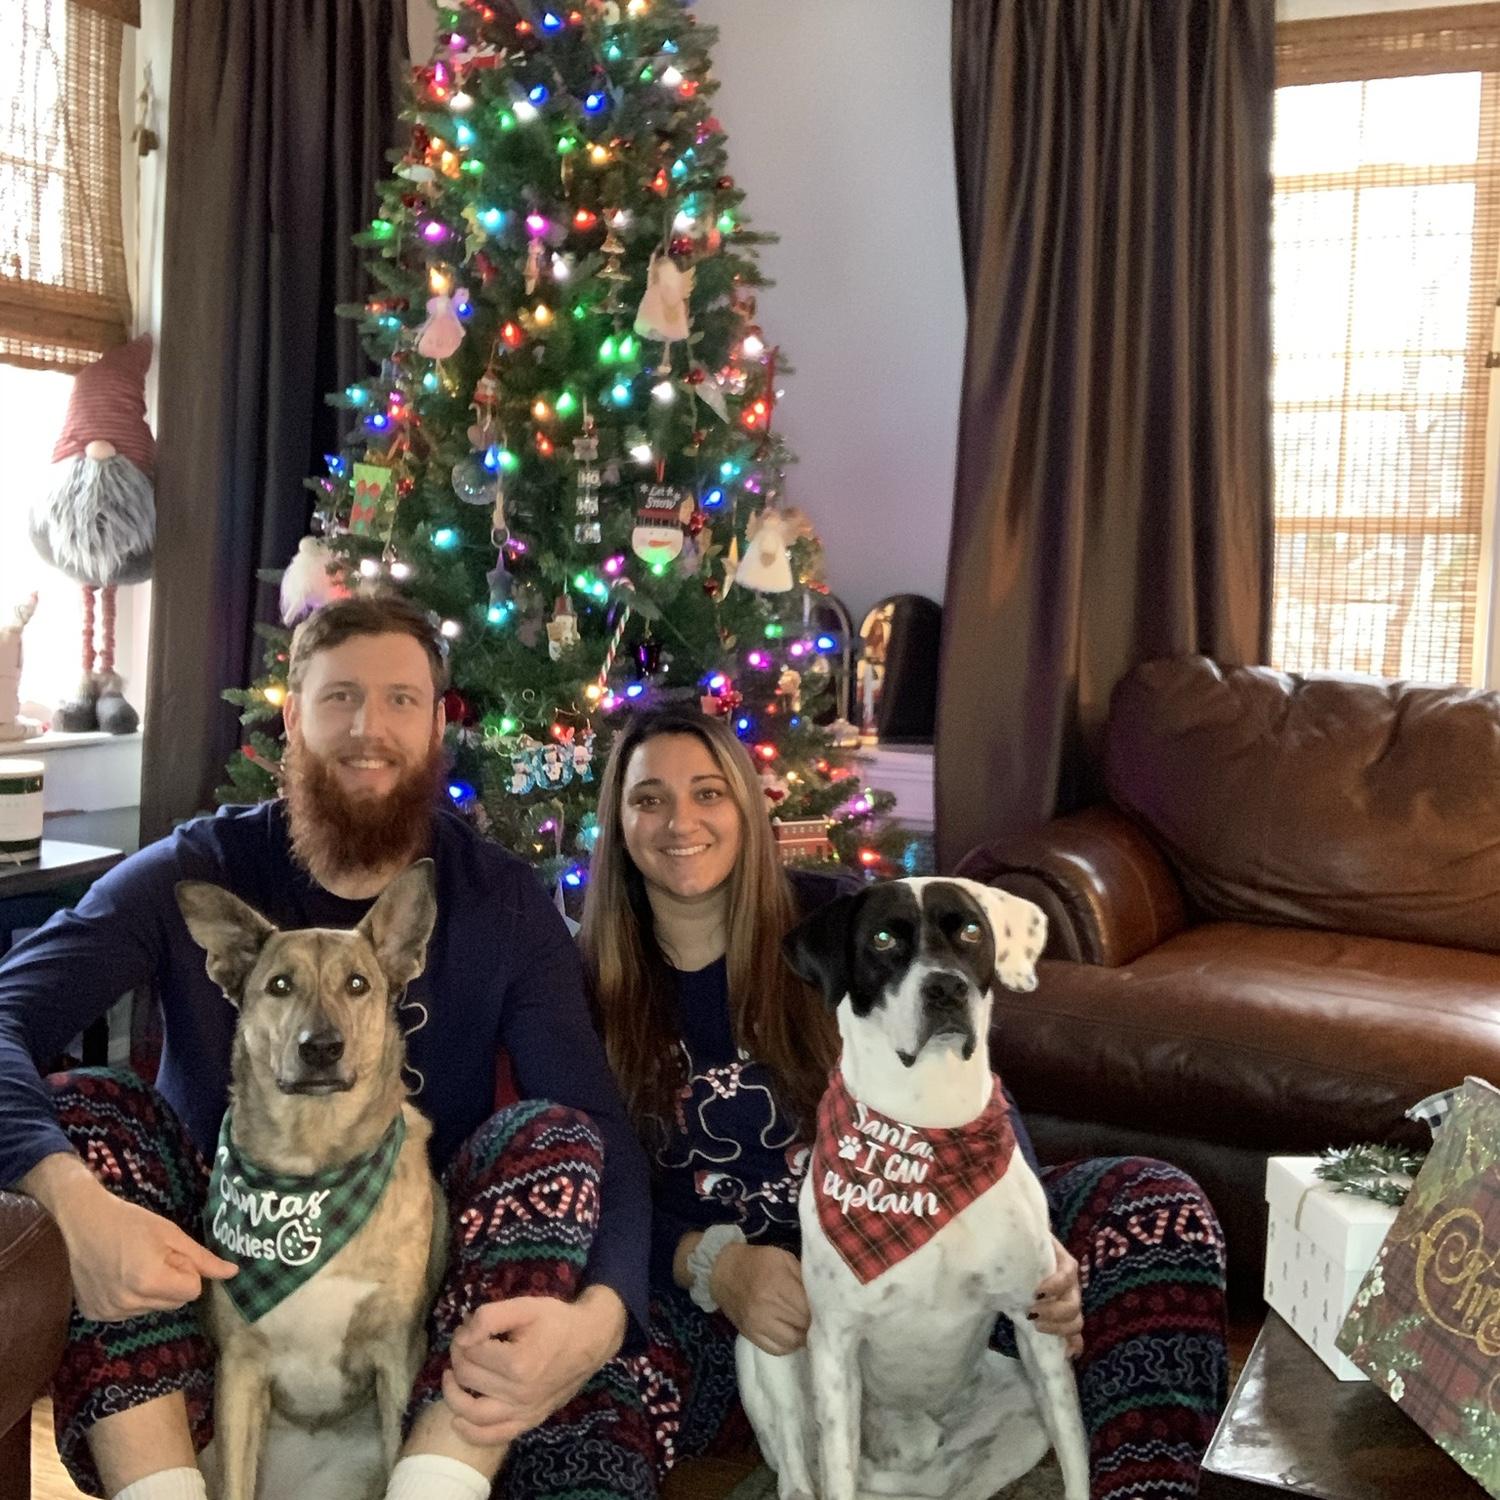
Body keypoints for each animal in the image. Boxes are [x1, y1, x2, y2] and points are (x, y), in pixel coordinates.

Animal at [175, 861, 445, 1500]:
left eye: (358, 984)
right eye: (279, 985)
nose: (321, 1048)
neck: (312, 1168)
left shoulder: (397, 1358)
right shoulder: (240, 1372)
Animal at [736, 877, 1089, 1500]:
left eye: (970, 931)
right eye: (882, 939)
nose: (945, 987)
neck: (926, 1131)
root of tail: (897, 1456)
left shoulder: (1039, 1326)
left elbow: (1075, 1458)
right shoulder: (836, 1345)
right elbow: (833, 1472)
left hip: (1019, 1417)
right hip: (766, 1335)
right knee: (803, 1476)